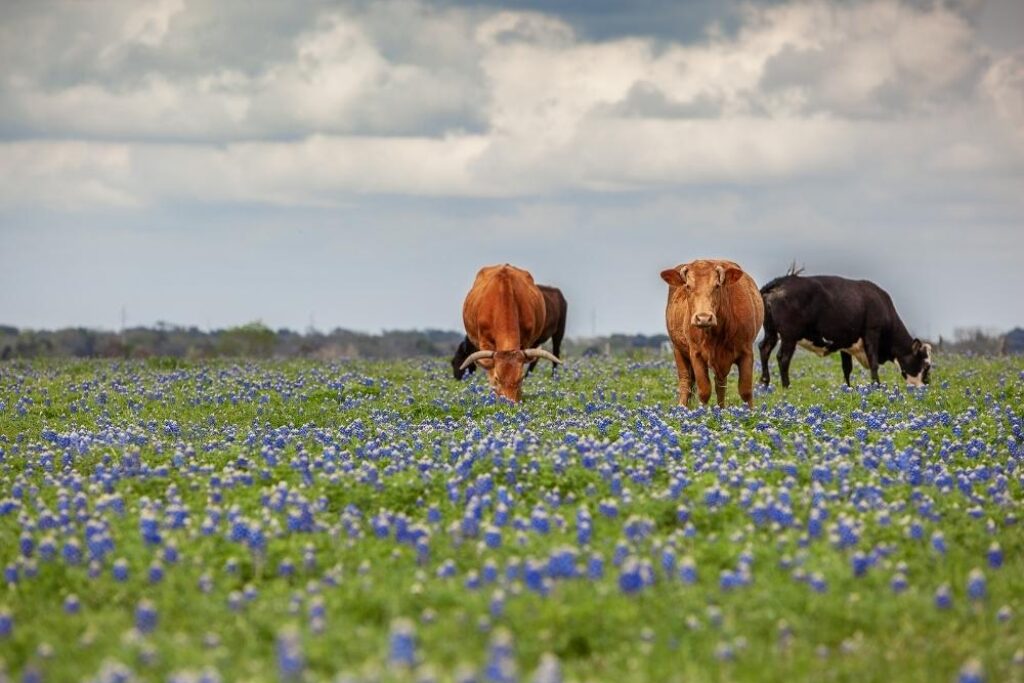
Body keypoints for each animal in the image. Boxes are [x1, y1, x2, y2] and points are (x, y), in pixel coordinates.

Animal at [660, 259, 764, 408]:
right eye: (688, 286)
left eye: (717, 286)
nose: (703, 318)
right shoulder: (696, 354)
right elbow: (704, 391)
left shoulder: (747, 351)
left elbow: (745, 391)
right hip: (678, 350)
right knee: (686, 382)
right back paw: (682, 408)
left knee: (720, 384)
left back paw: (721, 409)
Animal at [758, 270, 932, 388]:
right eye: (926, 365)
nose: (926, 385)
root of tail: (780, 281)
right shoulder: (872, 333)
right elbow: (873, 363)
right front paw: (876, 385)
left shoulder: (845, 342)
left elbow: (846, 368)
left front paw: (848, 388)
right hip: (789, 335)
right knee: (783, 358)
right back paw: (786, 386)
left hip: (771, 331)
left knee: (764, 349)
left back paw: (764, 383)